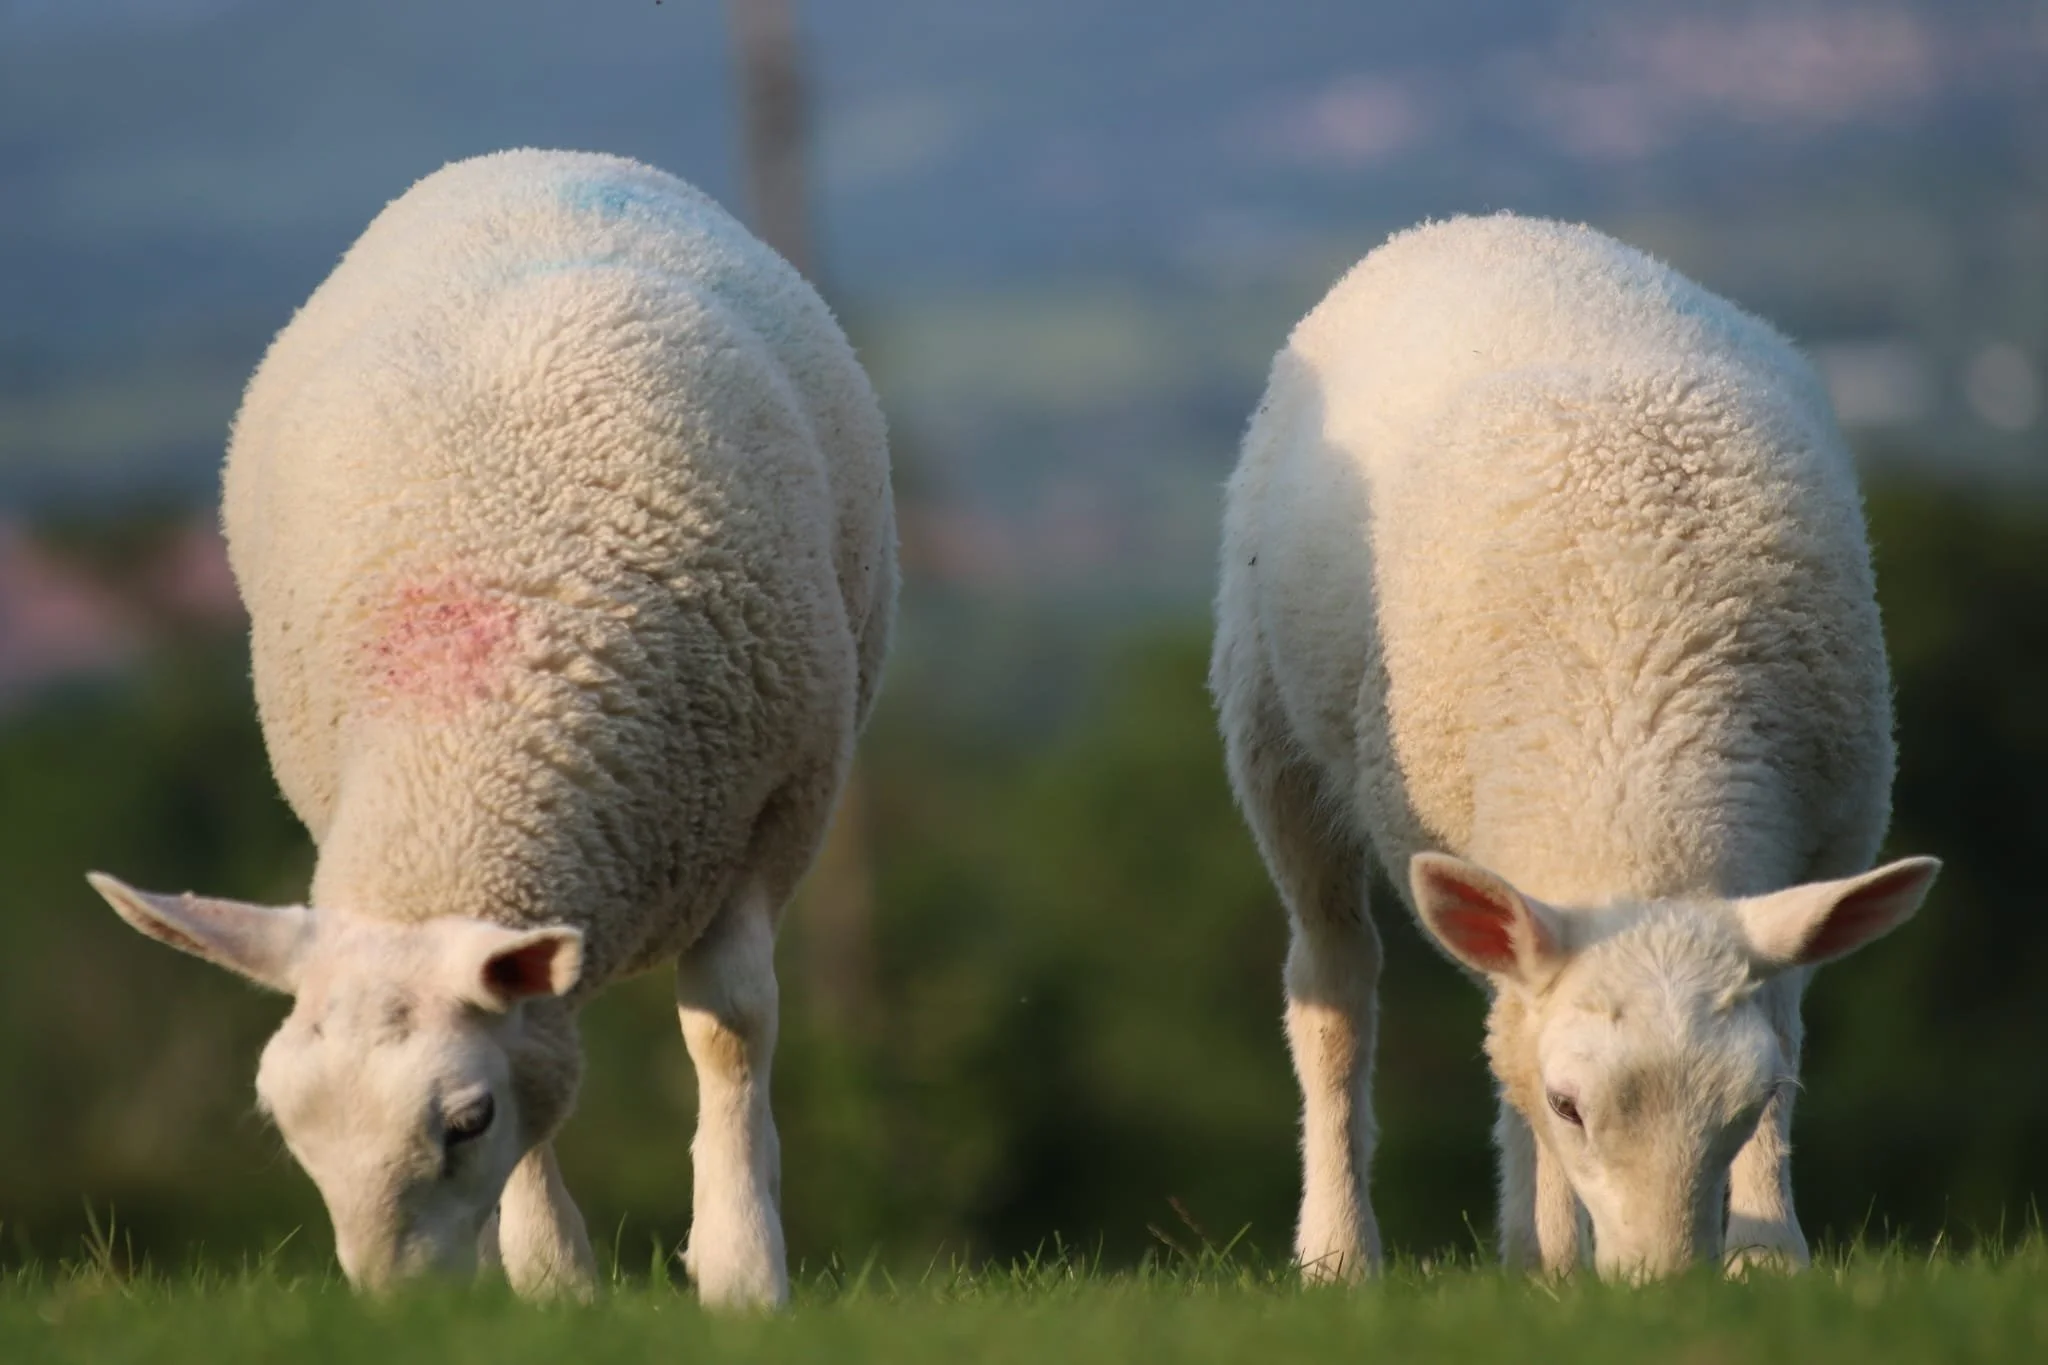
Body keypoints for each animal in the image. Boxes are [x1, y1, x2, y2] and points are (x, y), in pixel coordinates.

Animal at [85, 148, 896, 1304]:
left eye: (466, 1121)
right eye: (288, 1128)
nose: (399, 1318)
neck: (468, 747)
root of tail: (530, 157)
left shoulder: (779, 805)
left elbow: (731, 1029)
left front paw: (743, 1273)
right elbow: (547, 1078)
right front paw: (553, 1283)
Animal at [1211, 213, 1939, 1282]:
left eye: (1747, 1103)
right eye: (1571, 1104)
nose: (1660, 1287)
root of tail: (1479, 223)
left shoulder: (1821, 849)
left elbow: (1784, 1027)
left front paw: (1769, 1255)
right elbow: (1510, 1045)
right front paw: (1552, 1256)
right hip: (1273, 737)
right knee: (1336, 991)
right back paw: (1343, 1252)